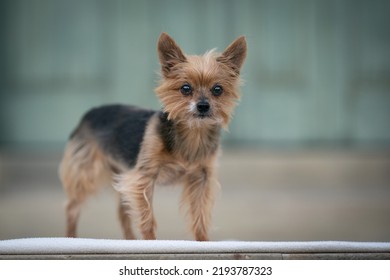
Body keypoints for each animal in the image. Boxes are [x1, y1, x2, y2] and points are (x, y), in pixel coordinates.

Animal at [58, 32, 247, 241]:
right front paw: (150, 241)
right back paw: (70, 236)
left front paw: (202, 240)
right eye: (185, 88)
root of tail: (89, 113)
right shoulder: (143, 177)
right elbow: (147, 216)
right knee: (72, 208)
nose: (203, 106)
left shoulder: (201, 178)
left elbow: (200, 216)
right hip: (85, 172)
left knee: (122, 213)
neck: (193, 133)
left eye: (217, 89)